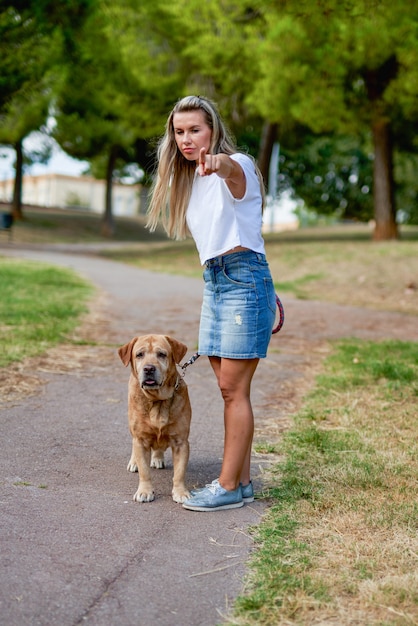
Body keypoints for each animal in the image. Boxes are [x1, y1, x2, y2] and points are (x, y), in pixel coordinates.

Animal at [118, 332, 192, 502]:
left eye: (161, 354)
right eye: (139, 354)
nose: (149, 368)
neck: (157, 400)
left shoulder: (181, 442)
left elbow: (179, 473)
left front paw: (180, 492)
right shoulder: (140, 439)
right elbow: (145, 471)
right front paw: (145, 491)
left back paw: (157, 458)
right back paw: (134, 462)